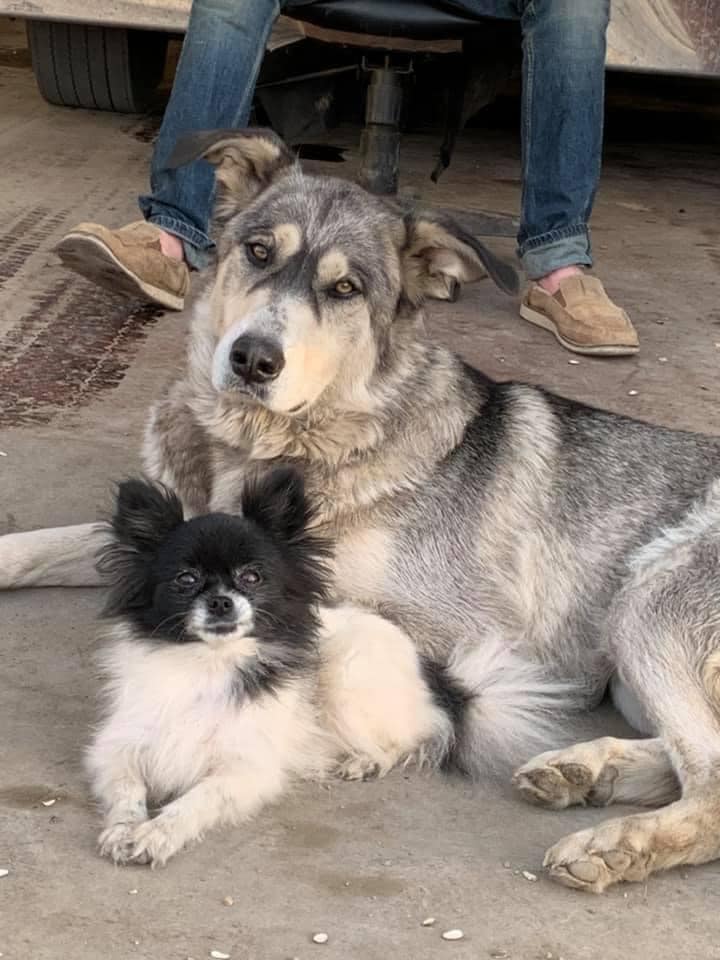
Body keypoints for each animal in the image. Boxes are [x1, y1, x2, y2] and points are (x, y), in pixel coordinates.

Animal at [90, 468, 459, 866]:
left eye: (252, 577)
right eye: (185, 579)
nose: (221, 601)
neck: (210, 662)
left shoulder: (245, 769)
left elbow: (196, 800)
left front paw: (157, 833)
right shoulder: (119, 745)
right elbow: (126, 788)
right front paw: (124, 829)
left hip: (347, 679)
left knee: (413, 734)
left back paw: (367, 761)